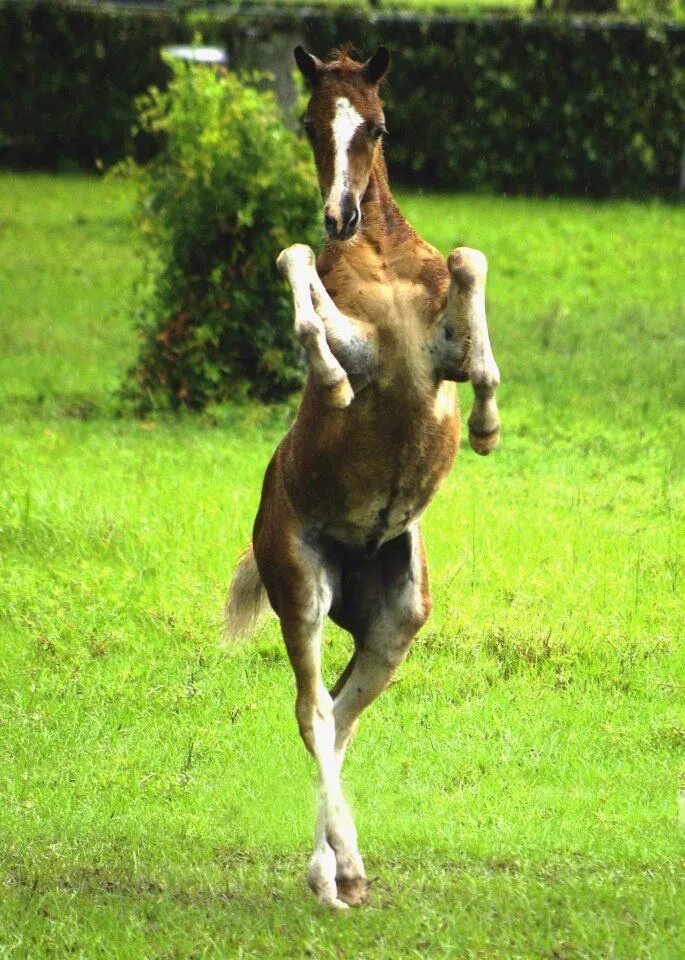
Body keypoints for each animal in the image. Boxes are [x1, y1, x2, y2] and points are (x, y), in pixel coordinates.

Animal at [225, 45, 501, 908]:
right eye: (311, 123)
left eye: (375, 125)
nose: (340, 216)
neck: (376, 255)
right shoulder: (366, 344)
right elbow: (295, 264)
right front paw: (332, 383)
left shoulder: (436, 354)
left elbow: (468, 262)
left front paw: (487, 420)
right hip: (301, 586)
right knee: (313, 710)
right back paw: (343, 867)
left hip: (395, 619)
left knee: (339, 716)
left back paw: (328, 873)